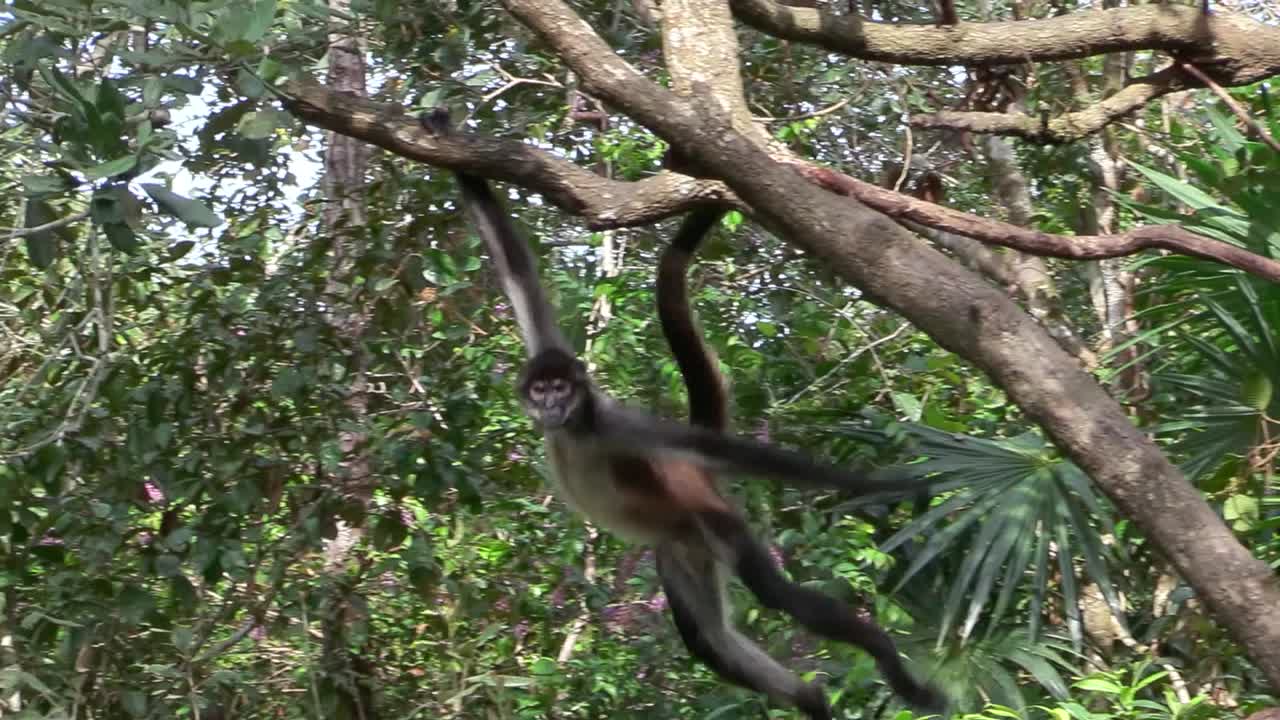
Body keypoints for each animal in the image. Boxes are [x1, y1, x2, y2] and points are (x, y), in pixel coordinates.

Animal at [418, 109, 945, 716]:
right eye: (542, 389)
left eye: (563, 391)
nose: (551, 405)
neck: (575, 431)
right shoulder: (551, 356)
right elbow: (513, 264)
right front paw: (447, 139)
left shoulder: (615, 425)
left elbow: (735, 453)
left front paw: (895, 484)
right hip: (679, 549)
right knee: (706, 640)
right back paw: (811, 698)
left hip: (711, 521)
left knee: (775, 595)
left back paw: (889, 668)